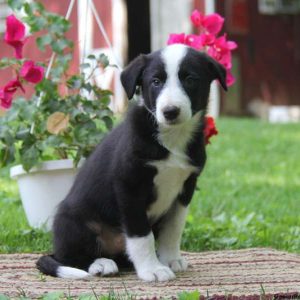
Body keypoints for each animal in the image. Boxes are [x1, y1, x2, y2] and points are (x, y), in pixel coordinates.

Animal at [36, 44, 226, 282]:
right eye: (156, 81)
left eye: (190, 79)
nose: (170, 111)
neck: (171, 138)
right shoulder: (130, 187)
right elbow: (141, 235)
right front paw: (152, 269)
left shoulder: (186, 187)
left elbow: (173, 228)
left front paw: (170, 259)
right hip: (72, 222)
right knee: (70, 257)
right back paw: (101, 264)